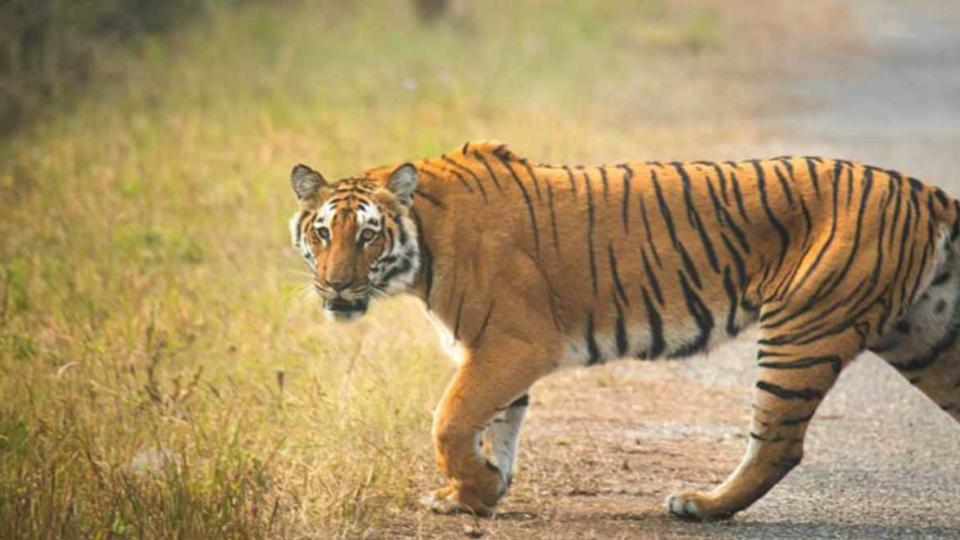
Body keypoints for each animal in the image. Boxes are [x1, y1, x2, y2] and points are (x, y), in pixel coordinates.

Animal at [288, 140, 960, 521]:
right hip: (926, 338)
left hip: (803, 332)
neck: (423, 245)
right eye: (322, 233)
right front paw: (477, 495)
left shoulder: (514, 342)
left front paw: (471, 489)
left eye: (367, 235)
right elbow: (497, 423)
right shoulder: (495, 351)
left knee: (778, 444)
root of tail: (923, 190)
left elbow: (451, 420)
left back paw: (700, 507)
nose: (336, 287)